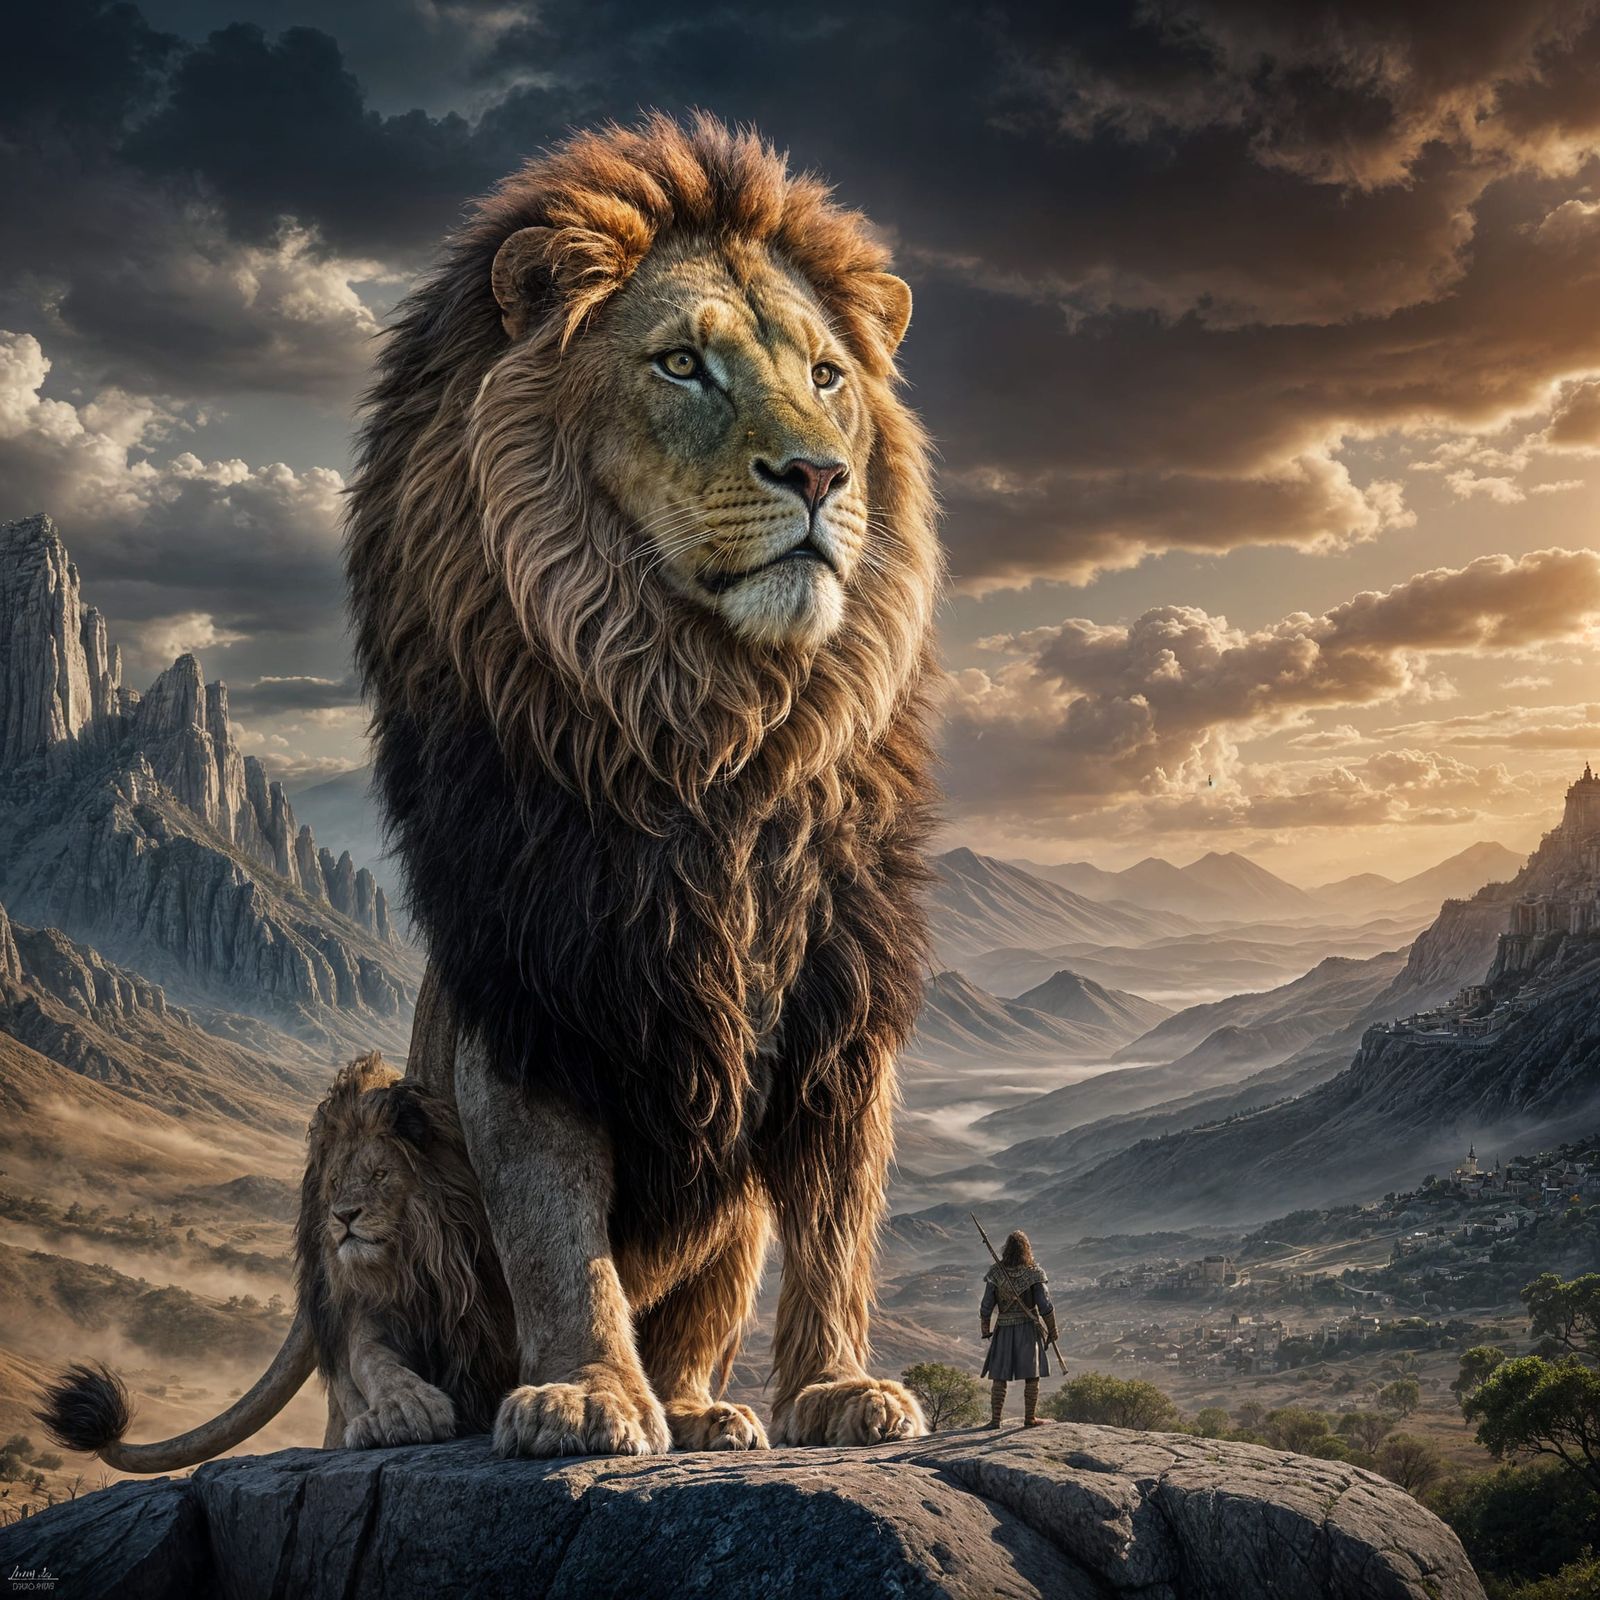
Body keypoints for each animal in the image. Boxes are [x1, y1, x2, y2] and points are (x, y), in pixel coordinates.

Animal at [38, 1054, 516, 1470]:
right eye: (335, 1182)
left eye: (380, 1174)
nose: (343, 1217)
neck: (424, 1261)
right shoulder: (368, 1307)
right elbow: (369, 1358)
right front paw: (401, 1408)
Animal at [346, 112, 943, 1456]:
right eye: (680, 365)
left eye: (828, 376)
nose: (819, 476)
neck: (712, 731)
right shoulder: (528, 999)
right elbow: (556, 1234)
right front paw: (586, 1396)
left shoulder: (841, 1003)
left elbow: (840, 1217)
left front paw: (839, 1388)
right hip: (392, 1147)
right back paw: (406, 1406)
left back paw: (707, 1408)